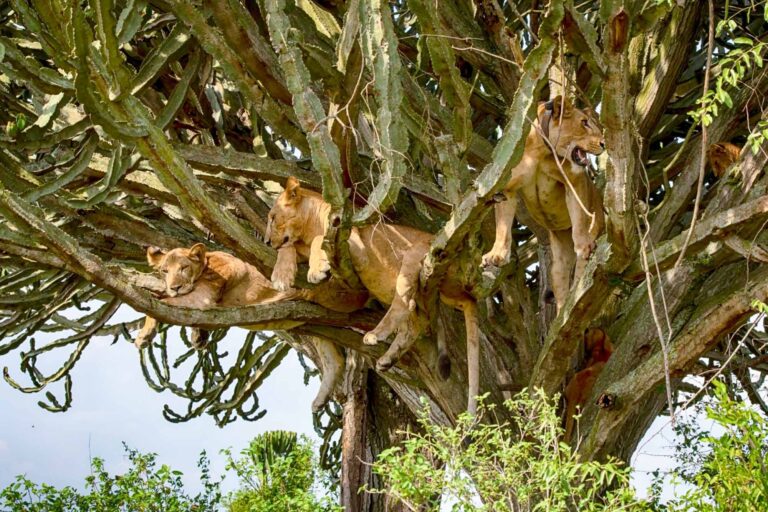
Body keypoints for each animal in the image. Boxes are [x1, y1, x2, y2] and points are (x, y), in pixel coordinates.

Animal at [135, 243, 368, 411]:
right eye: (165, 271)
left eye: (184, 268)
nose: (174, 287)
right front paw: (198, 337)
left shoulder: (203, 296)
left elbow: (158, 303)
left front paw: (144, 335)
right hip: (314, 325)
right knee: (335, 361)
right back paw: (320, 401)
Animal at [266, 177, 483, 414]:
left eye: (273, 217)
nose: (266, 242)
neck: (310, 223)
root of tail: (465, 290)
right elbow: (290, 247)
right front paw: (282, 274)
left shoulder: (353, 247)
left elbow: (316, 240)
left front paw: (314, 271)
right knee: (413, 323)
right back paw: (387, 358)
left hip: (413, 256)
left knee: (402, 305)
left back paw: (375, 335)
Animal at [482, 96, 605, 310]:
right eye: (584, 123)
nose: (604, 143)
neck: (541, 149)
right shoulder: (507, 189)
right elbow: (503, 227)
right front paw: (496, 255)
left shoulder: (574, 180)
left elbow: (580, 220)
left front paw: (583, 244)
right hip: (557, 265)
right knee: (561, 285)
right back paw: (563, 311)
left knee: (582, 273)